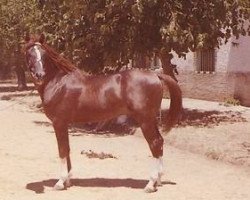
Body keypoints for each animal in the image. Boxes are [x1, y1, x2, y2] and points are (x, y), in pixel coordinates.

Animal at [24, 34, 182, 192]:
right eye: (30, 54)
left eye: (44, 55)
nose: (39, 75)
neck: (58, 83)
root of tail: (156, 75)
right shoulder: (64, 124)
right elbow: (67, 149)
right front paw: (68, 181)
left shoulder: (59, 122)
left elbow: (62, 150)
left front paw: (60, 182)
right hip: (151, 120)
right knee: (159, 142)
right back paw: (158, 181)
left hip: (145, 121)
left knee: (154, 143)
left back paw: (150, 184)